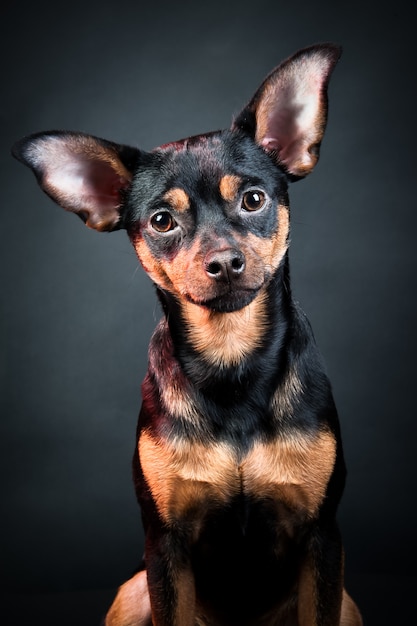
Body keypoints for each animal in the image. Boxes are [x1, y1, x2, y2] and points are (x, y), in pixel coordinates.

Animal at [12, 44, 360, 624]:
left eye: (253, 200)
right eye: (161, 221)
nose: (224, 262)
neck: (231, 358)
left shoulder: (322, 538)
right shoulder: (164, 545)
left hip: (348, 602)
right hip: (132, 591)